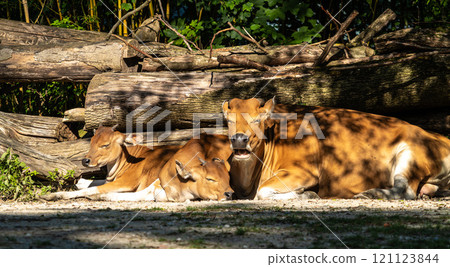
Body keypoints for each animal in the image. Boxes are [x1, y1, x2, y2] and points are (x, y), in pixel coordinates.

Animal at [221, 97, 450, 200]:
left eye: (257, 120)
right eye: (229, 120)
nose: (239, 139)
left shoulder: (304, 172)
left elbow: (263, 191)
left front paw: (308, 195)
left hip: (411, 154)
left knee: (405, 190)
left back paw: (369, 194)